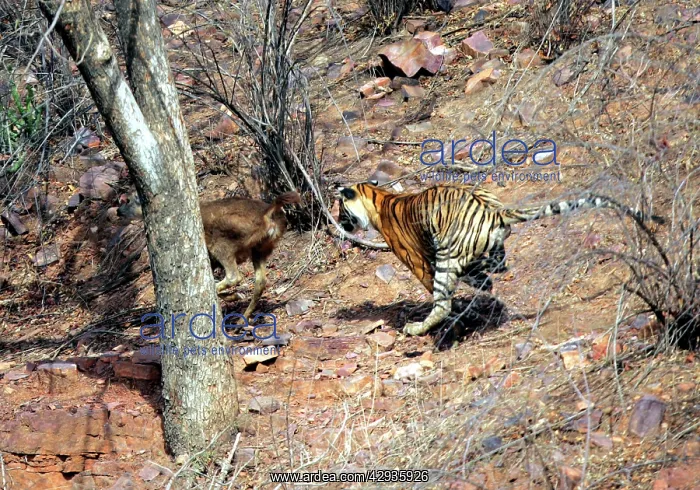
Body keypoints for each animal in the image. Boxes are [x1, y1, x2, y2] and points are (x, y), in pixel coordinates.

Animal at [336, 180, 665, 336]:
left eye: (340, 209)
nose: (339, 223)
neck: (377, 198)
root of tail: (495, 210)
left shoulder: (417, 261)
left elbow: (437, 292)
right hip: (481, 248)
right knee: (496, 268)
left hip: (446, 256)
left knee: (443, 303)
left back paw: (419, 329)